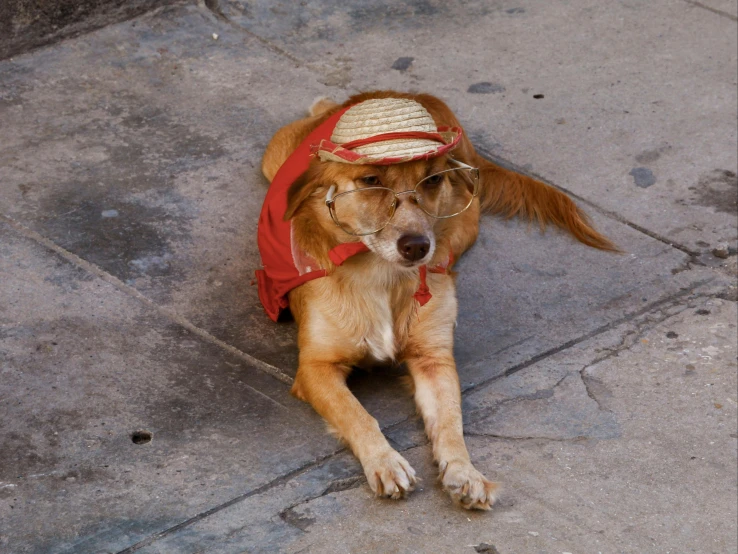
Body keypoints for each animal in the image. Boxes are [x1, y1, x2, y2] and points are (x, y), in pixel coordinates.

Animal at [258, 90, 616, 508]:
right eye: (370, 180)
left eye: (432, 180)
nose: (417, 246)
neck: (382, 275)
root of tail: (401, 93)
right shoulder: (315, 369)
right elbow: (357, 414)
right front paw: (385, 462)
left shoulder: (434, 358)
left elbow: (450, 422)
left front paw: (465, 471)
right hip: (274, 156)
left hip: (465, 227)